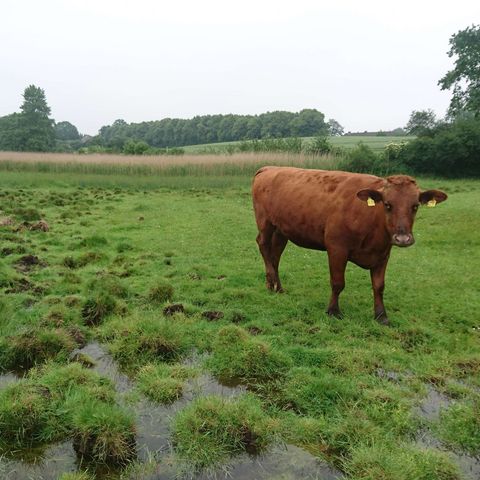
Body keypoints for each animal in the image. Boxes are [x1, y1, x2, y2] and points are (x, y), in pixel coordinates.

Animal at [253, 167, 448, 324]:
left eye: (415, 206)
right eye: (387, 204)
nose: (402, 238)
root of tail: (269, 168)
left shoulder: (383, 253)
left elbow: (379, 286)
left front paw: (381, 315)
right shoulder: (336, 248)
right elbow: (338, 282)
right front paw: (333, 311)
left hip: (281, 230)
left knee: (275, 256)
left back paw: (276, 287)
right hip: (265, 222)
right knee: (263, 246)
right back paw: (271, 279)